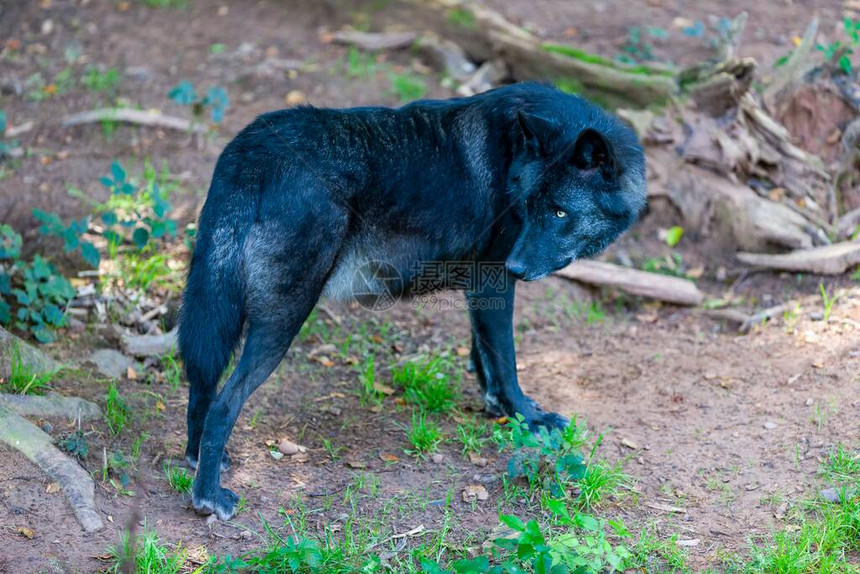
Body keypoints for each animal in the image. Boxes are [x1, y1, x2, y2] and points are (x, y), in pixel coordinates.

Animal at [180, 82, 644, 520]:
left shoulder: (482, 290)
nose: (516, 266)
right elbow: (507, 362)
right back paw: (209, 496)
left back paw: (200, 457)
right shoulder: (492, 280)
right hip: (282, 320)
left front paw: (495, 406)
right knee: (224, 403)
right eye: (531, 207)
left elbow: (483, 356)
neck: (512, 157)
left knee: (202, 381)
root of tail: (250, 150)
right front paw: (529, 418)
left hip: (219, 312)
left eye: (560, 212)